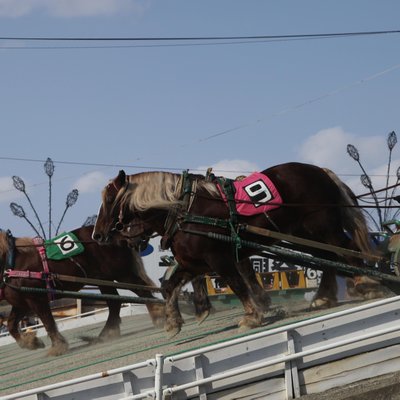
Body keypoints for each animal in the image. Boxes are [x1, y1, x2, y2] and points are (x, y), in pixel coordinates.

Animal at [0, 225, 166, 356]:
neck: (13, 261)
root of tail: (116, 235)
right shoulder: (22, 303)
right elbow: (11, 325)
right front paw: (31, 342)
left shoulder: (36, 298)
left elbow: (48, 322)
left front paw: (58, 346)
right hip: (103, 278)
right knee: (114, 303)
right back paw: (106, 334)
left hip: (121, 274)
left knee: (142, 292)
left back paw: (158, 316)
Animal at [92, 161, 376, 336]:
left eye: (110, 198)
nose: (97, 234)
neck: (183, 210)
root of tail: (320, 170)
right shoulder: (194, 263)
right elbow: (169, 286)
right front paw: (173, 322)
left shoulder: (218, 258)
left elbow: (237, 284)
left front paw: (252, 316)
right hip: (304, 232)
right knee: (328, 258)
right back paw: (325, 295)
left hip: (323, 226)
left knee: (346, 249)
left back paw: (365, 282)